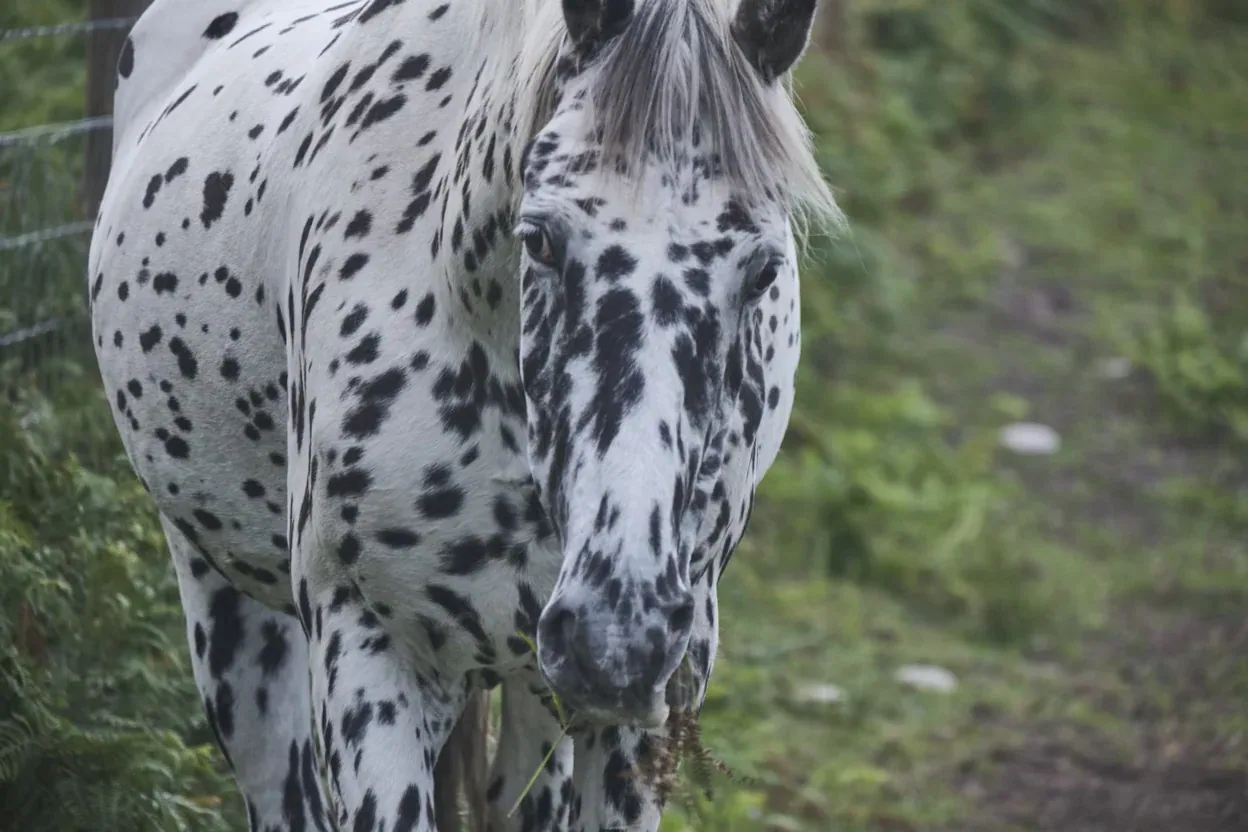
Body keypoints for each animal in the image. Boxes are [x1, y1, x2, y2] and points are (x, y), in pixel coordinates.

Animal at [87, 0, 840, 828]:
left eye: (764, 269)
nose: (618, 638)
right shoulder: (370, 654)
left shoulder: (641, 714)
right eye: (539, 238)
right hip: (229, 615)